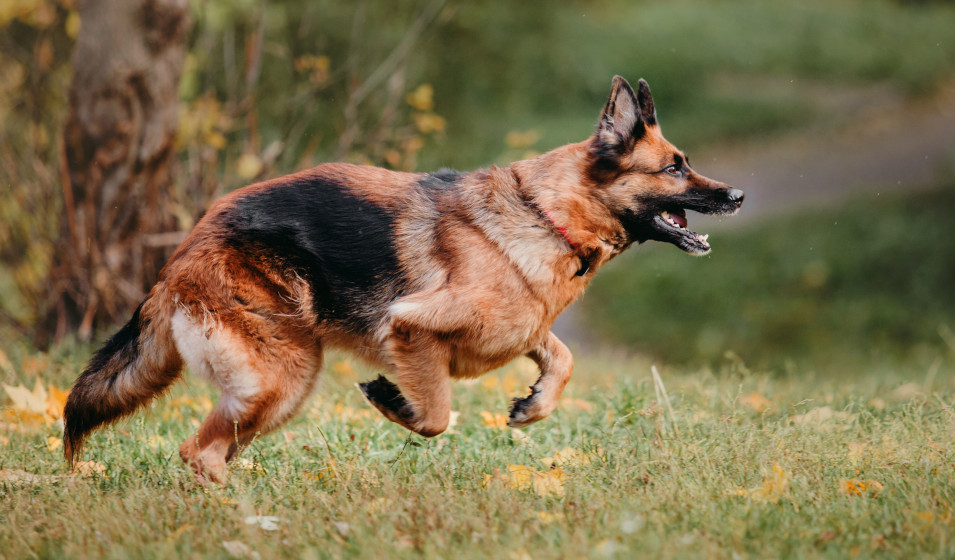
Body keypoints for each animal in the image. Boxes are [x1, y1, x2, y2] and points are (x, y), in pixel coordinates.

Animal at [63, 76, 748, 484]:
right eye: (675, 168)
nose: (738, 195)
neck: (548, 216)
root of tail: (178, 258)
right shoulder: (411, 327)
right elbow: (437, 415)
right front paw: (396, 403)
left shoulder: (524, 326)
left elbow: (563, 357)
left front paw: (533, 405)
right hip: (279, 376)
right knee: (198, 454)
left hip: (276, 392)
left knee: (210, 450)